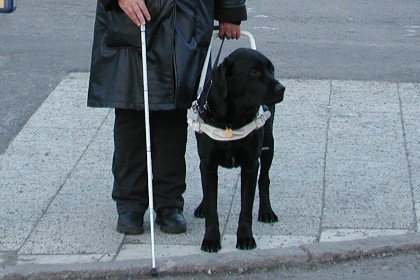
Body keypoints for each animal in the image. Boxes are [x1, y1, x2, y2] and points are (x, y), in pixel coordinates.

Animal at [193, 47, 286, 253]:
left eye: (271, 69)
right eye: (254, 71)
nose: (281, 88)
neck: (231, 119)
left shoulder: (251, 164)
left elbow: (246, 207)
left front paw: (245, 237)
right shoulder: (208, 163)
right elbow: (211, 205)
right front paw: (211, 239)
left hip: (268, 146)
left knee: (264, 179)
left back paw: (266, 211)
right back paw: (202, 206)